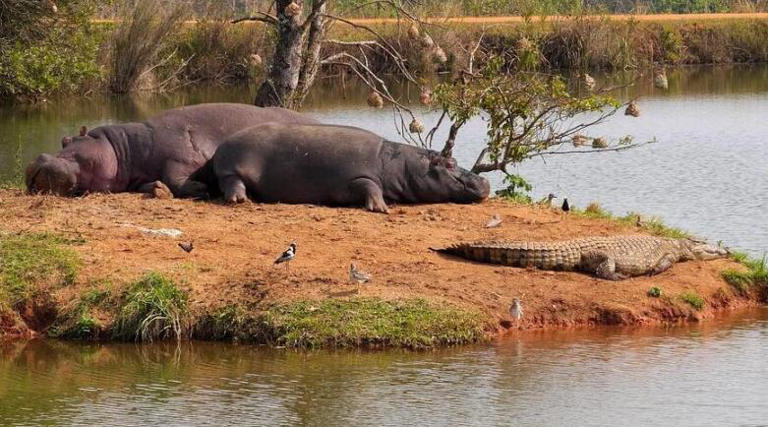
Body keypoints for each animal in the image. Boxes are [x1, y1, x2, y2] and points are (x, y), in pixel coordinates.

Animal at [24, 103, 318, 199]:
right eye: (63, 139)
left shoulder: (180, 156)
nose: (38, 158)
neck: (124, 149)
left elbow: (176, 177)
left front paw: (200, 189)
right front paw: (157, 189)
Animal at [210, 123, 488, 211]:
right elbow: (370, 186)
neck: (399, 165)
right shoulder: (353, 178)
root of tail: (222, 145)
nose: (485, 182)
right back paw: (239, 200)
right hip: (231, 167)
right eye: (450, 163)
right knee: (232, 182)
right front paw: (382, 208)